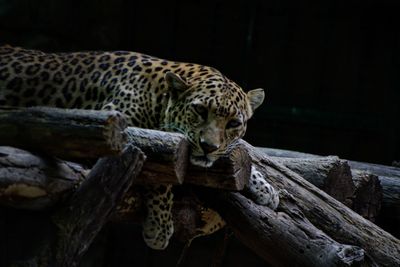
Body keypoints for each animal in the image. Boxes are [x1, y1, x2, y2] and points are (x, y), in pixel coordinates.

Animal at [0, 44, 280, 251]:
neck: (159, 96)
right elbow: (160, 166)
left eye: (233, 123)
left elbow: (238, 150)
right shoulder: (110, 128)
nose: (208, 146)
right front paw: (160, 226)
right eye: (200, 110)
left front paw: (266, 188)